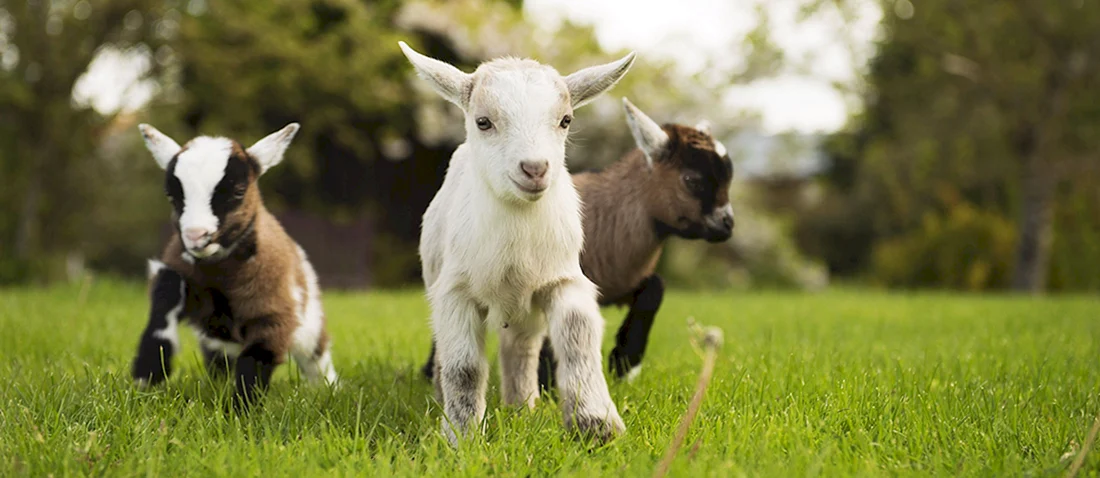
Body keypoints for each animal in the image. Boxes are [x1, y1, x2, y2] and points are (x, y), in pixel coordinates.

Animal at [130, 123, 337, 408]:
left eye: (239, 191)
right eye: (172, 196)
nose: (196, 235)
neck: (220, 274)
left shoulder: (273, 314)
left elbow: (256, 359)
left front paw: (240, 412)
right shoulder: (177, 273)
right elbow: (166, 294)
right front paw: (147, 373)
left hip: (311, 325)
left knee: (317, 360)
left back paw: (331, 390)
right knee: (219, 361)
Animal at [398, 41, 635, 444]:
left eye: (566, 120)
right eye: (483, 121)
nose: (535, 169)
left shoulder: (562, 278)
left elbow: (578, 337)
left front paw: (596, 425)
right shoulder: (455, 292)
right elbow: (464, 366)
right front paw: (460, 436)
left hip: (525, 309)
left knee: (520, 348)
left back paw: (522, 407)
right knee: (450, 354)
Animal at [421, 99, 735, 388]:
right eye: (692, 179)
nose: (727, 224)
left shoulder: (621, 281)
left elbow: (655, 287)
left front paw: (624, 362)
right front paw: (547, 383)